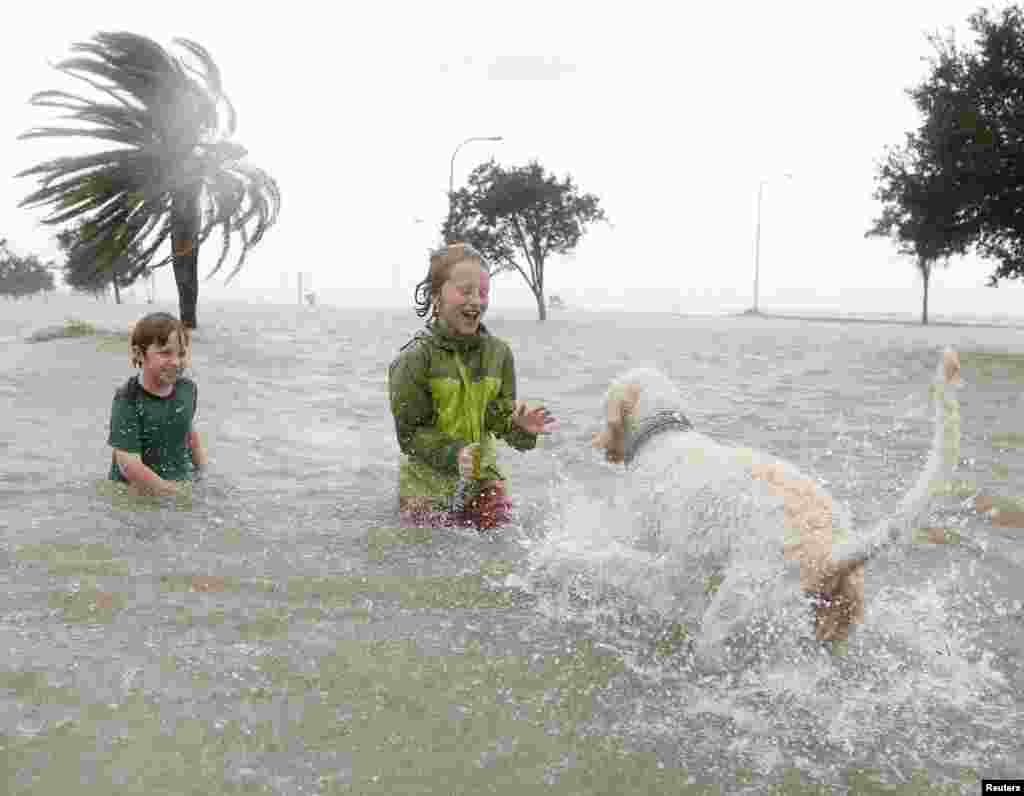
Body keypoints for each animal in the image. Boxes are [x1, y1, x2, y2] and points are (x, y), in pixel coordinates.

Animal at [581, 348, 962, 663]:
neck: (662, 433)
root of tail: (832, 551)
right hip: (833, 622)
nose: (595, 442)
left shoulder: (639, 537)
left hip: (739, 601)